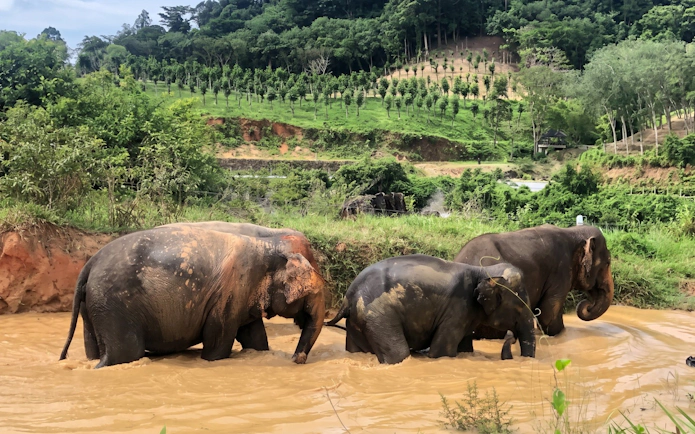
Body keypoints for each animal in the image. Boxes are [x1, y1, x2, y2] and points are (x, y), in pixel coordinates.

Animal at [326, 254, 536, 364]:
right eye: (519, 307)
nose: (511, 337)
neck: (484, 270)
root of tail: (348, 297)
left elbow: (464, 347)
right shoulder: (457, 309)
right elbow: (442, 351)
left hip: (358, 321)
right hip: (378, 315)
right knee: (398, 354)